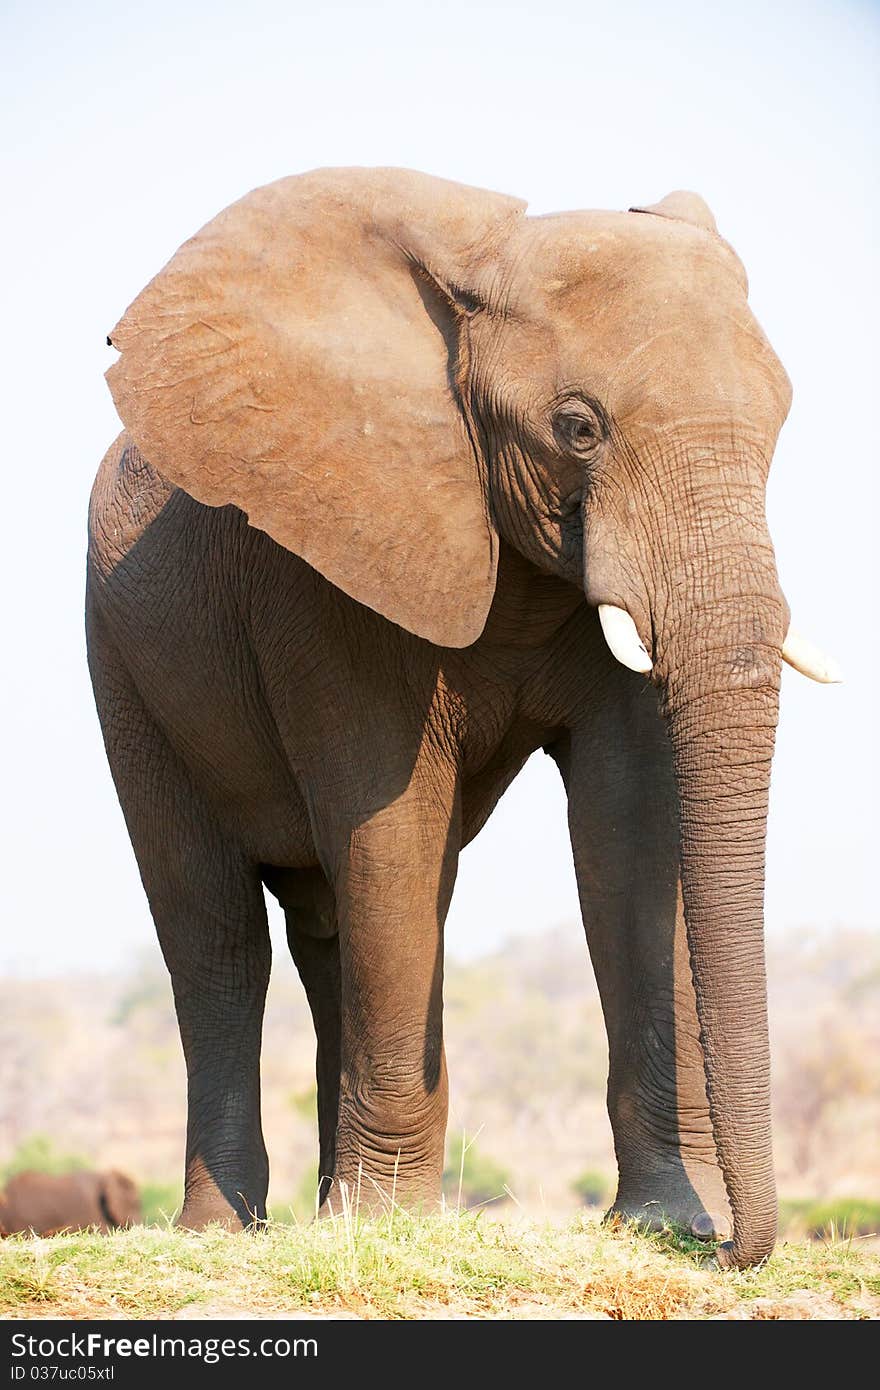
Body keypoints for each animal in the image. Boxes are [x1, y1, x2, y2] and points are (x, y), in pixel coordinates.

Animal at [84, 165, 839, 1273]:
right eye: (578, 427)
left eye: (783, 417)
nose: (736, 1248)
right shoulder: (331, 568)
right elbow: (389, 825)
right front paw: (385, 1226)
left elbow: (629, 828)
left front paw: (661, 1223)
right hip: (123, 662)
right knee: (217, 934)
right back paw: (228, 1229)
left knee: (332, 927)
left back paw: (324, 1205)